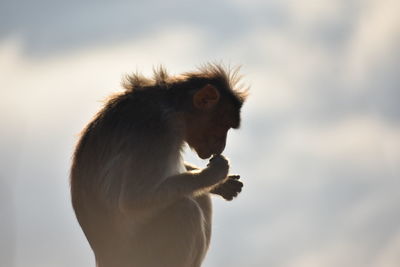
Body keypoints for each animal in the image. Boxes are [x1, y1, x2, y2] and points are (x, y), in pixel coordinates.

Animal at [70, 64, 248, 267]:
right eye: (223, 125)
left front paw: (222, 184)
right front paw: (216, 174)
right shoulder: (157, 130)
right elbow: (133, 199)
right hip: (140, 253)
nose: (221, 147)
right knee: (185, 209)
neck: (171, 105)